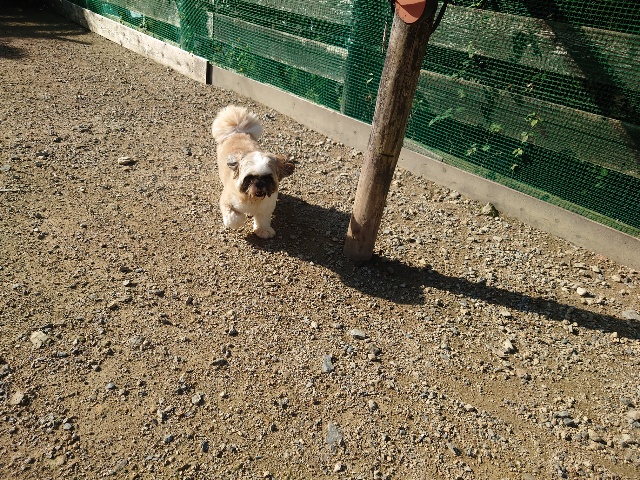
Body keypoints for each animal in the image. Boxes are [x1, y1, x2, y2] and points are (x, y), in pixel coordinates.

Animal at [211, 105, 295, 238]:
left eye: (268, 178)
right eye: (249, 178)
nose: (259, 184)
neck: (252, 199)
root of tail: (238, 131)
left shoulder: (265, 208)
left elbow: (263, 219)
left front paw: (263, 230)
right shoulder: (227, 202)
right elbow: (234, 218)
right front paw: (239, 221)